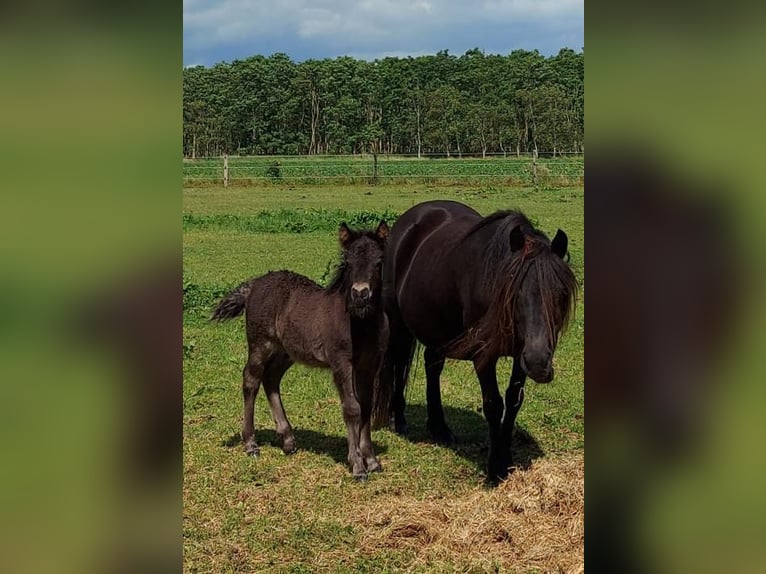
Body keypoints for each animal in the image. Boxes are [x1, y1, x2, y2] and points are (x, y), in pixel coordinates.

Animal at [212, 220, 390, 482]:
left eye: (378, 262)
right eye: (348, 262)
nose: (360, 293)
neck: (361, 323)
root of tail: (254, 284)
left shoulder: (370, 364)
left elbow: (366, 407)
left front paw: (372, 460)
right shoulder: (341, 362)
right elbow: (352, 408)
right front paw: (357, 466)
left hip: (286, 351)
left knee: (271, 379)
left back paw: (287, 440)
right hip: (260, 344)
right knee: (251, 380)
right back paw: (251, 444)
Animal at [380, 200, 580, 484]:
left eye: (560, 292)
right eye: (514, 291)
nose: (539, 363)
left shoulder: (521, 354)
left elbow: (513, 401)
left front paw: (507, 459)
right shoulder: (484, 354)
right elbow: (494, 404)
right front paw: (495, 468)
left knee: (432, 365)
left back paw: (439, 428)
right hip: (398, 322)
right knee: (399, 363)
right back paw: (399, 420)